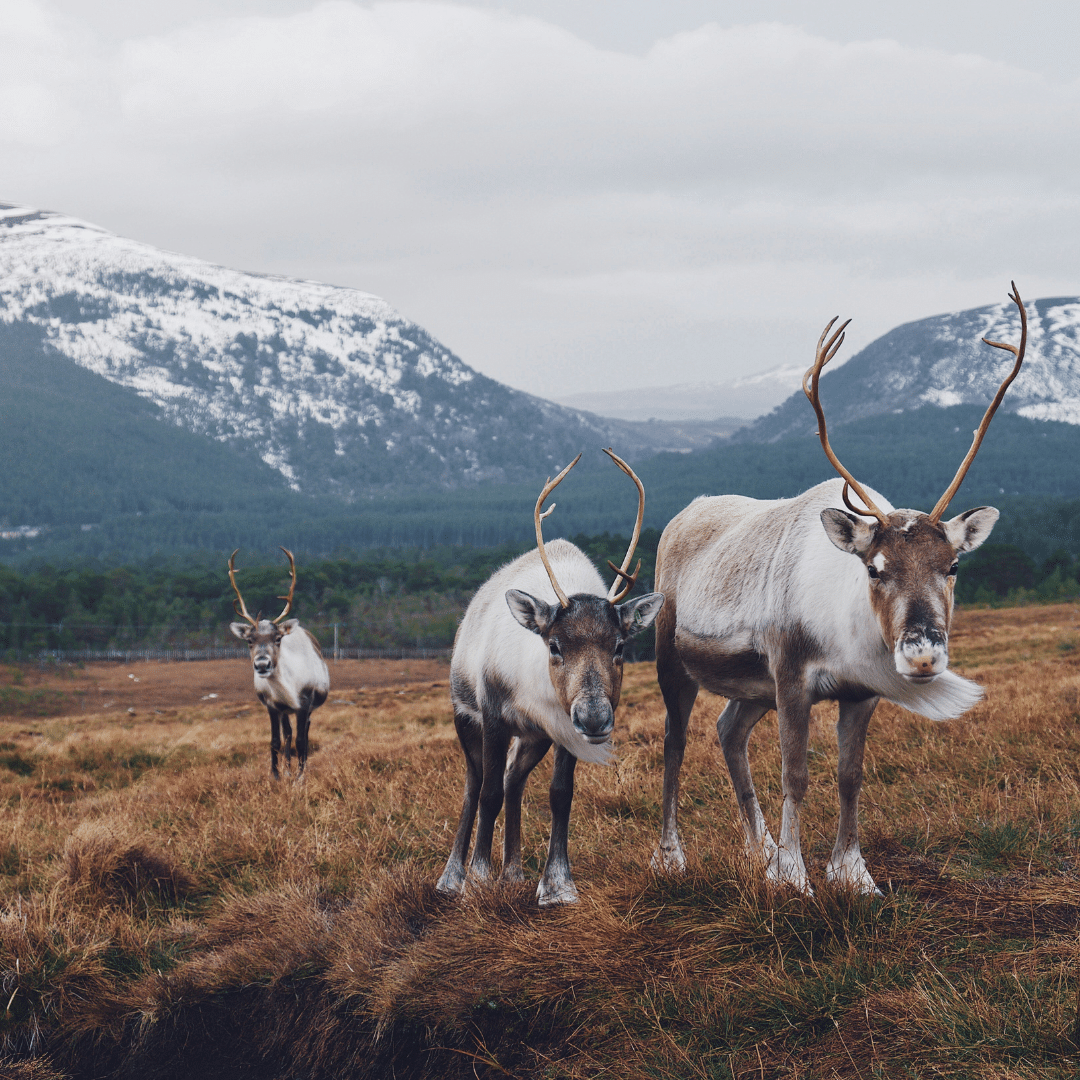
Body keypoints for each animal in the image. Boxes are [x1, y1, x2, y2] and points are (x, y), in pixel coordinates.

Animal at [229, 547, 329, 780]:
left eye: (277, 639)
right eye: (249, 640)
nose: (262, 664)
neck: (288, 687)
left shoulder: (304, 703)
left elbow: (302, 741)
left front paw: (301, 775)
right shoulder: (273, 705)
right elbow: (276, 741)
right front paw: (276, 774)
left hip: (308, 709)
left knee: (304, 733)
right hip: (285, 712)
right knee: (288, 734)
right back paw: (287, 769)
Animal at [437, 449, 665, 906]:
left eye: (619, 646)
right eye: (555, 645)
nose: (595, 717)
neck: (532, 687)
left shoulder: (560, 729)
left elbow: (560, 794)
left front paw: (557, 885)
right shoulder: (493, 716)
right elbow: (486, 794)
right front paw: (478, 879)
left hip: (533, 736)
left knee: (513, 779)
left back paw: (513, 873)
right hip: (464, 716)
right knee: (476, 784)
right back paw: (453, 877)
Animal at [651, 284, 1028, 896]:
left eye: (952, 566)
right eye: (874, 568)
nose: (922, 654)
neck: (842, 633)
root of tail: (683, 515)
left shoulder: (859, 691)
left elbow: (850, 775)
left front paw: (853, 873)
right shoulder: (791, 677)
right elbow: (796, 775)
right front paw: (796, 877)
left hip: (752, 687)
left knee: (728, 730)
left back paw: (761, 852)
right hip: (673, 657)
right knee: (674, 742)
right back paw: (673, 857)